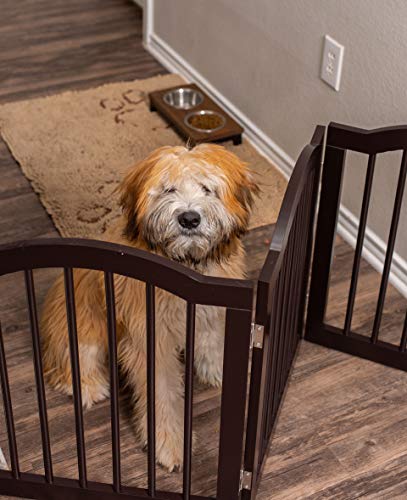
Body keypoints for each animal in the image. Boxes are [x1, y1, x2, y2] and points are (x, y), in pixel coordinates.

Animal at [40, 143, 258, 470]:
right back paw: (89, 386)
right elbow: (162, 394)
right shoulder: (150, 339)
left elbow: (211, 343)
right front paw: (170, 444)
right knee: (72, 363)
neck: (184, 263)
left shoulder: (210, 313)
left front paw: (219, 371)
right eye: (168, 189)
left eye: (207, 189)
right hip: (82, 330)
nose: (189, 219)